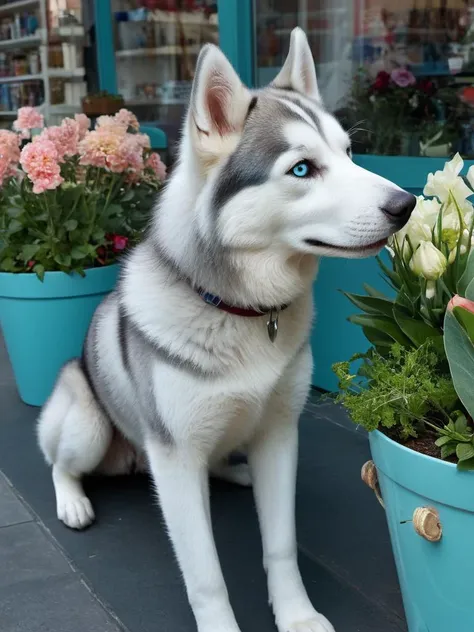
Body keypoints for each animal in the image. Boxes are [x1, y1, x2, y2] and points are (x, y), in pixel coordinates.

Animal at [37, 29, 414, 632]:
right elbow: (207, 577)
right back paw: (72, 500)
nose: (407, 203)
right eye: (302, 169)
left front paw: (297, 616)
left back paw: (237, 473)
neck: (242, 312)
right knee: (58, 462)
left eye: (350, 153)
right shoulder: (175, 460)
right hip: (89, 427)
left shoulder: (281, 435)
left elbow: (280, 547)